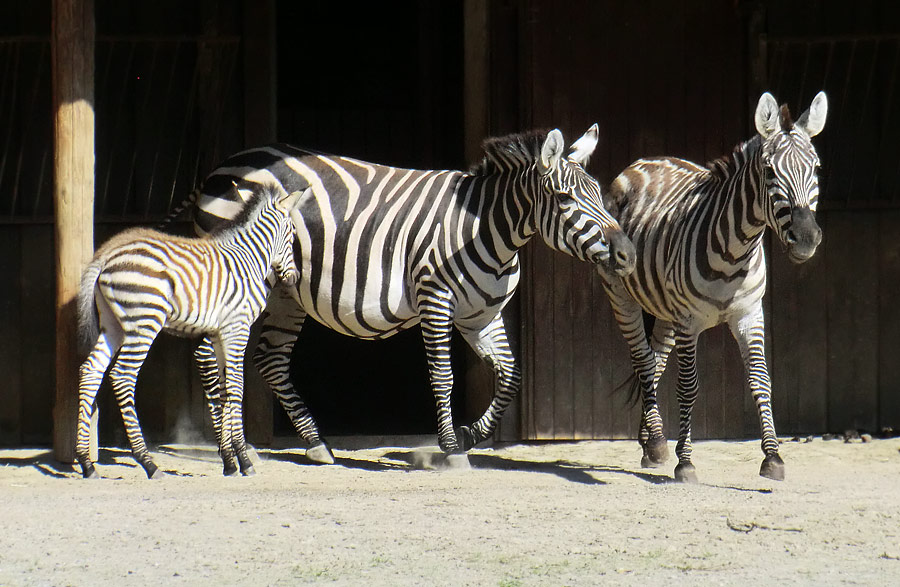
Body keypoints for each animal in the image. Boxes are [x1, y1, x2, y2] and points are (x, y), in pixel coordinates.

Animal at [77, 186, 302, 480]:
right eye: (293, 234)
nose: (294, 278)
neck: (249, 260)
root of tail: (106, 254)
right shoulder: (237, 330)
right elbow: (236, 388)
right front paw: (244, 460)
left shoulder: (219, 334)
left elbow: (224, 391)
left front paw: (229, 461)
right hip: (144, 321)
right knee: (122, 376)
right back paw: (148, 463)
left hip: (113, 323)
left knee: (90, 370)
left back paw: (87, 463)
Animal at [596, 90, 828, 482]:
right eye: (769, 172)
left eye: (816, 169)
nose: (807, 239)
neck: (736, 253)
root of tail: (644, 160)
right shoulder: (689, 321)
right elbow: (688, 387)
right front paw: (686, 461)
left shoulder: (749, 314)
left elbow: (761, 381)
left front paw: (773, 457)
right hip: (622, 296)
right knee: (643, 360)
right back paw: (657, 442)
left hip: (665, 311)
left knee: (655, 360)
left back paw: (651, 442)